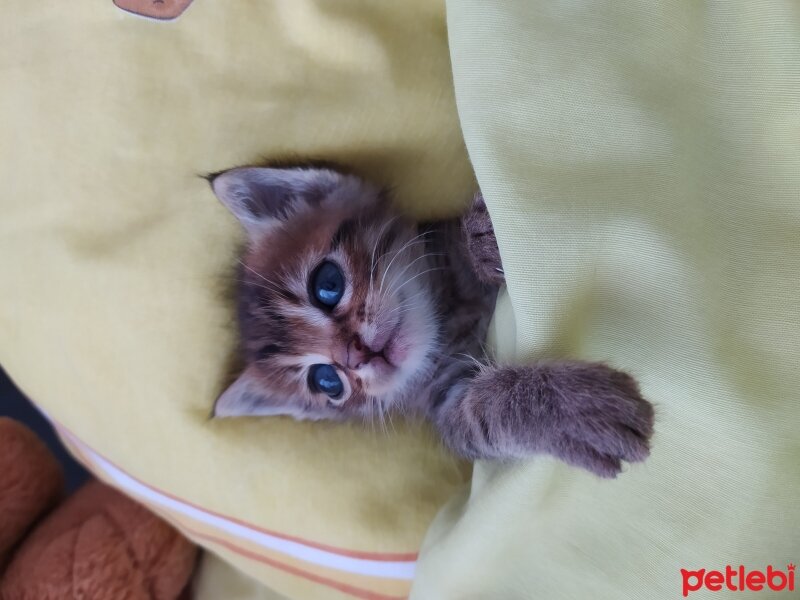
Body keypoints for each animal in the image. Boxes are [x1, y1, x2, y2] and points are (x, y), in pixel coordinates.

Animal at [209, 164, 652, 478]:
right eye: (327, 381)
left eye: (327, 284)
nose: (357, 357)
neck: (448, 317)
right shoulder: (446, 397)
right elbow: (480, 416)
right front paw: (571, 410)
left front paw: (481, 239)